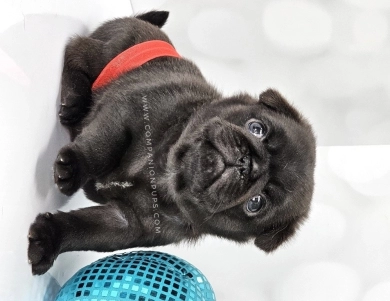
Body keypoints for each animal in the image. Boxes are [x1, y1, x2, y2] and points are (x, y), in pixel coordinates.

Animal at [27, 11, 316, 274]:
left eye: (256, 203)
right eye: (257, 128)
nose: (247, 163)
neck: (166, 171)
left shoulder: (127, 223)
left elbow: (84, 229)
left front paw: (49, 238)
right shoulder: (126, 112)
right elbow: (100, 146)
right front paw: (74, 167)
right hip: (108, 52)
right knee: (76, 50)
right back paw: (74, 101)